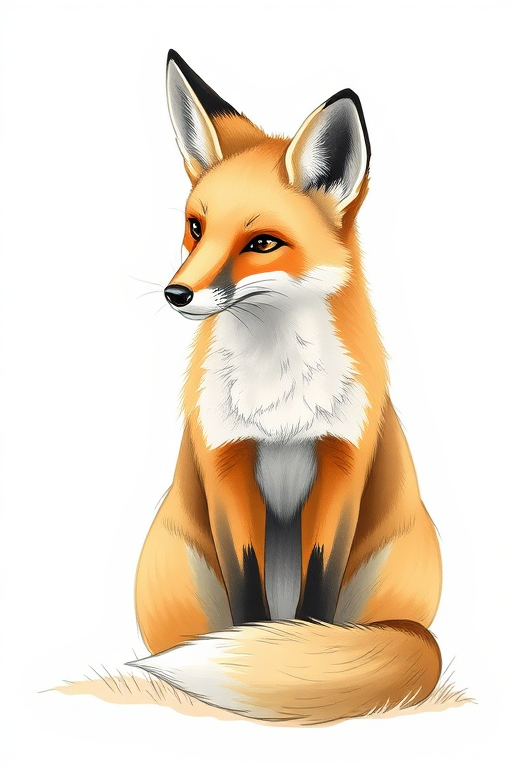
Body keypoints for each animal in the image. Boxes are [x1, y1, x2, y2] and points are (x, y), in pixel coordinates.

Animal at [128, 50, 443, 724]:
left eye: (262, 243)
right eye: (196, 227)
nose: (176, 293)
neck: (278, 403)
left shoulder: (342, 465)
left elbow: (315, 605)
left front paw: (298, 653)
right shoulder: (226, 464)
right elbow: (247, 600)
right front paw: (259, 651)